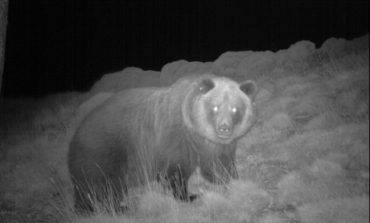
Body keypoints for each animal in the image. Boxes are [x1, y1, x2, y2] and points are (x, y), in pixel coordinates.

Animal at [67, 74, 258, 213]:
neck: (195, 132)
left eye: (235, 108)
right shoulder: (174, 139)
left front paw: (233, 180)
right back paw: (119, 207)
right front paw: (190, 196)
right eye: (216, 106)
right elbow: (175, 172)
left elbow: (218, 166)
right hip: (103, 153)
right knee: (106, 186)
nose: (224, 128)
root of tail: (75, 136)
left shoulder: (214, 146)